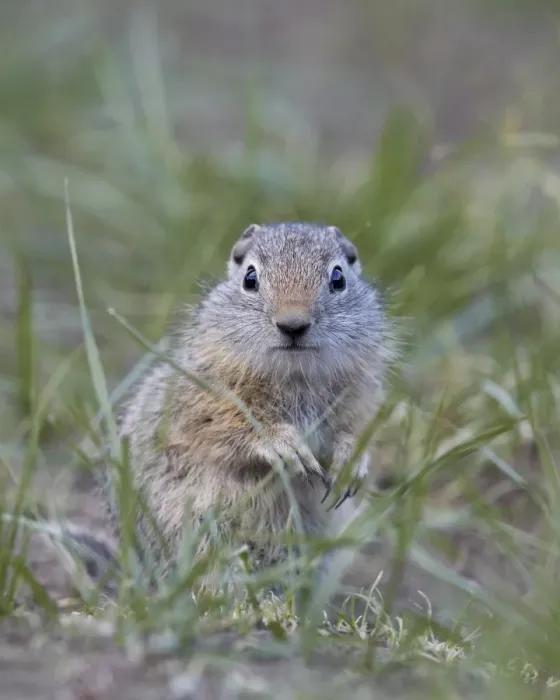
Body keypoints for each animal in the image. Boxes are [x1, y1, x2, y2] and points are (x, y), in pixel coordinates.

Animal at [43, 222, 395, 598]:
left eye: (338, 278)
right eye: (250, 278)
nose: (292, 324)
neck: (295, 375)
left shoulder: (359, 399)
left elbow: (355, 430)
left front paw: (351, 461)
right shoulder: (201, 398)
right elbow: (226, 425)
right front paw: (284, 445)